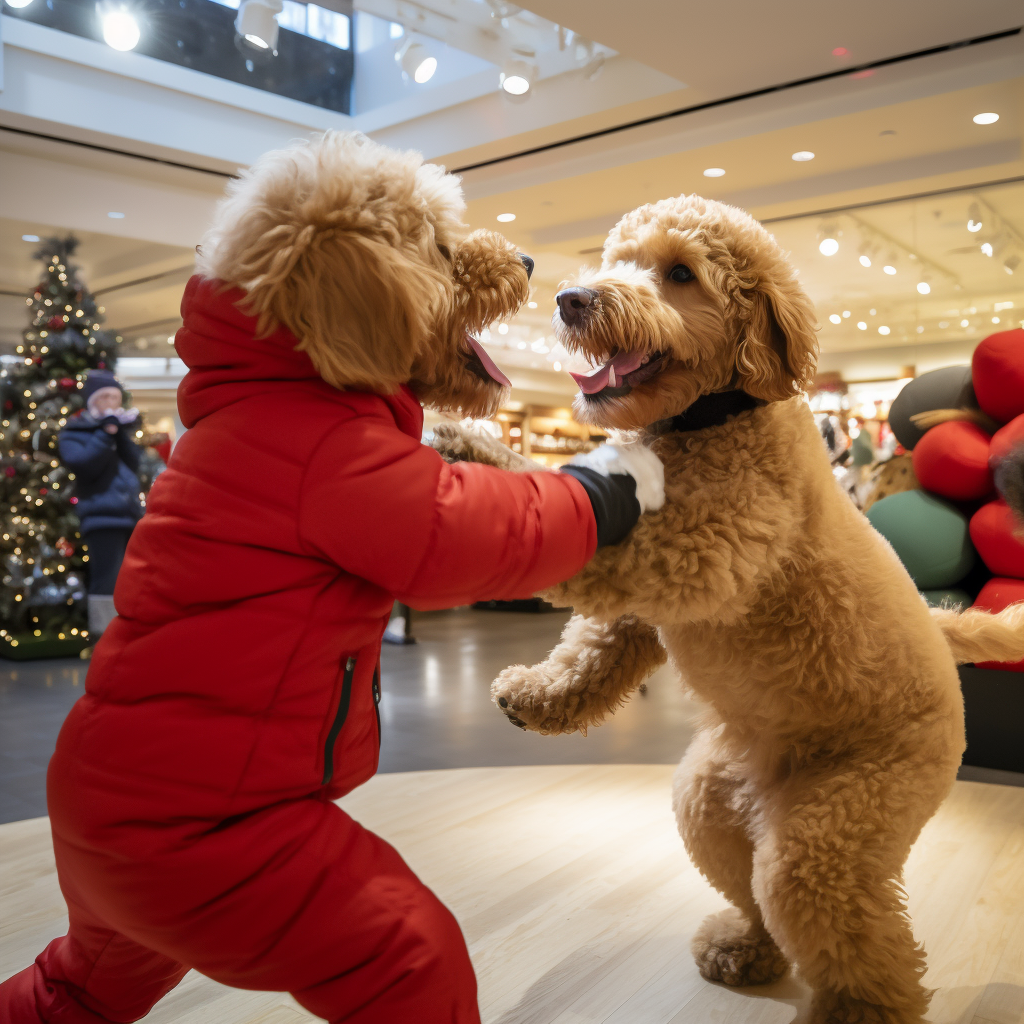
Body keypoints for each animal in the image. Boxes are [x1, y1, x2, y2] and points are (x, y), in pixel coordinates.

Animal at [0, 132, 663, 1019]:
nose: (529, 261)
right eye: (439, 248)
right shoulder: (346, 476)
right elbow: (463, 538)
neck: (291, 373)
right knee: (411, 951)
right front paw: (617, 478)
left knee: (77, 980)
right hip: (252, 884)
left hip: (128, 926)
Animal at [436, 193, 1024, 1024]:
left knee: (846, 928)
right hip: (706, 802)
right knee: (749, 886)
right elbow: (595, 645)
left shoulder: (693, 544)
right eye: (618, 260)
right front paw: (537, 696)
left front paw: (477, 455)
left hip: (845, 818)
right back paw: (744, 949)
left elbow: (580, 525)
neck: (715, 416)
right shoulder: (645, 603)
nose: (570, 298)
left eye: (680, 274)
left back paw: (856, 1008)